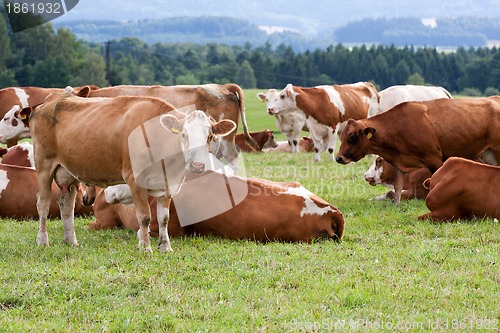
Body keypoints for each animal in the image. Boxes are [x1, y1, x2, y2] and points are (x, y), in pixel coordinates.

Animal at [29, 87, 236, 252]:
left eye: (210, 136)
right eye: (184, 135)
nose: (197, 165)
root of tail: (52, 100)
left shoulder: (166, 184)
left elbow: (163, 218)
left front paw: (165, 247)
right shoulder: (135, 180)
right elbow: (144, 217)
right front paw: (145, 247)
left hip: (68, 172)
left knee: (66, 205)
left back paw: (71, 240)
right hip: (44, 166)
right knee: (43, 203)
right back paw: (42, 240)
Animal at [334, 97, 500, 204]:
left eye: (352, 137)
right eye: (341, 136)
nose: (338, 158)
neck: (399, 126)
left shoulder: (434, 159)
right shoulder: (399, 162)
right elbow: (397, 188)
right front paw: (396, 206)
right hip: (489, 154)